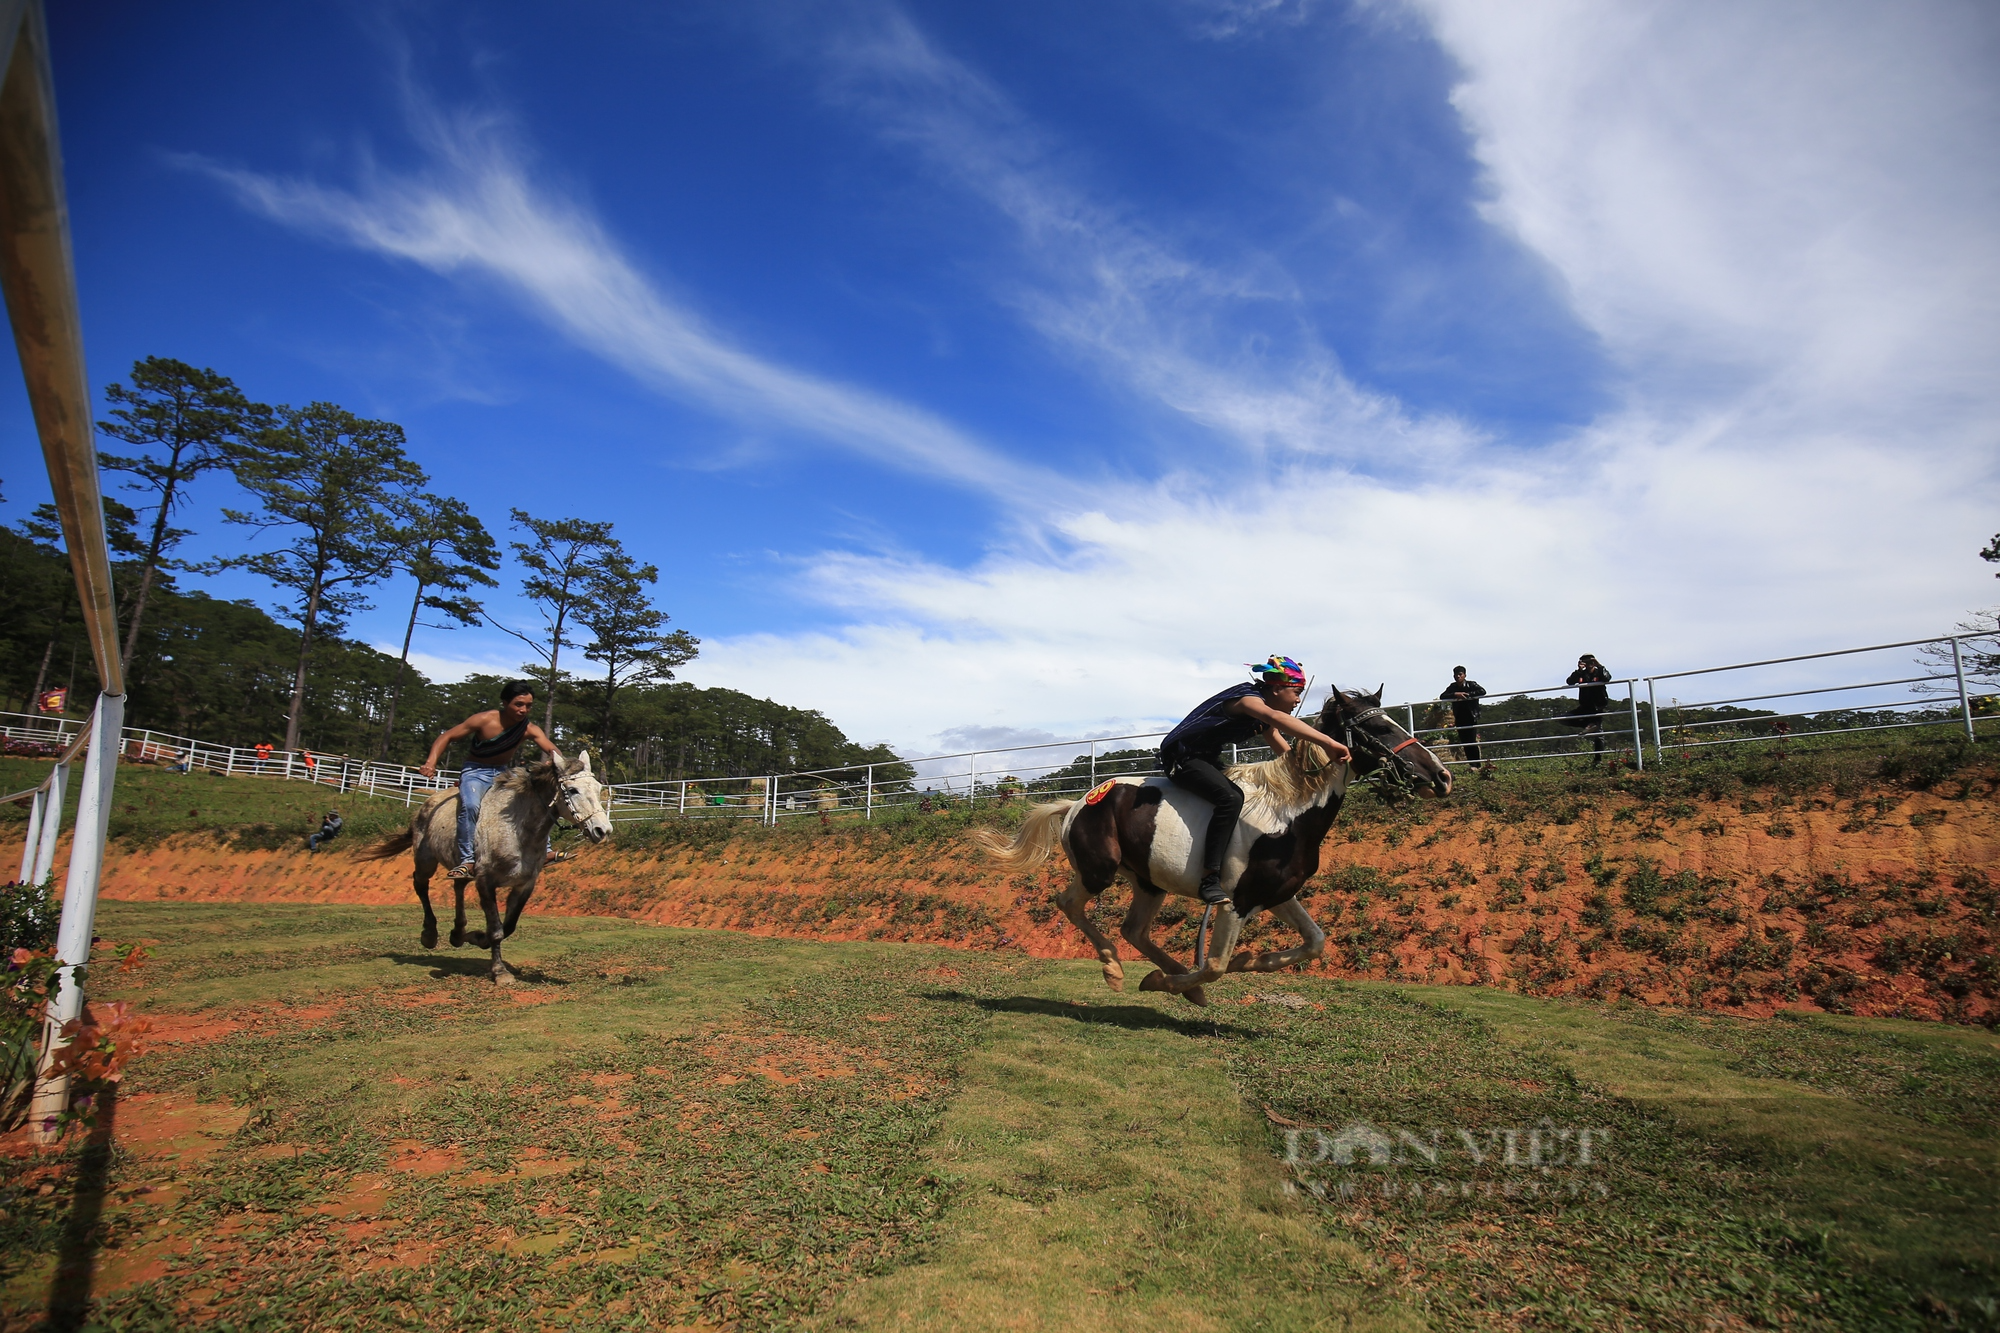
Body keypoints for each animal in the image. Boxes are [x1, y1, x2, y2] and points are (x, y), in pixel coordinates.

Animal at [976, 684, 1448, 996]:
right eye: (1380, 729)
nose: (1441, 776)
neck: (1287, 814)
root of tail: (1078, 802)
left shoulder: (1278, 894)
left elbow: (1315, 942)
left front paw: (1247, 961)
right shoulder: (1233, 902)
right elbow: (1217, 965)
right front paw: (1180, 979)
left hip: (1148, 882)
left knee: (1134, 930)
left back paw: (1173, 980)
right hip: (1099, 871)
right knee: (1071, 904)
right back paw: (1117, 970)